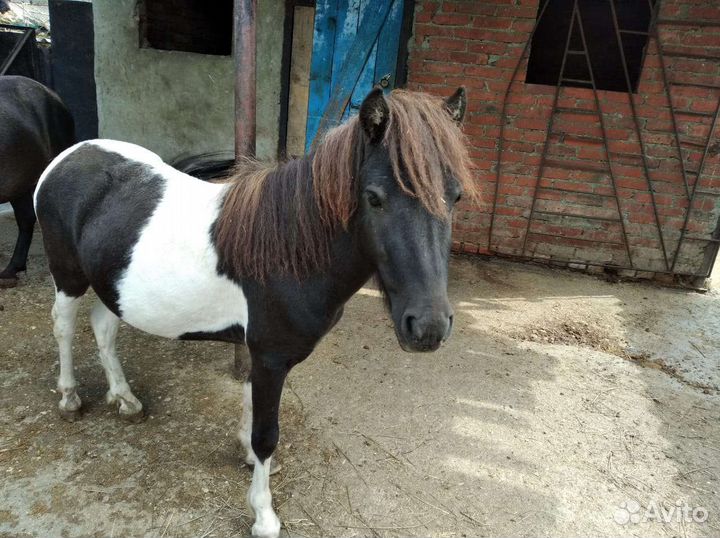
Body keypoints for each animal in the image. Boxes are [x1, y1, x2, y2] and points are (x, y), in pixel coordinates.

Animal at [34, 87, 474, 538]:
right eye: (374, 198)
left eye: (455, 196)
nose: (428, 327)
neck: (290, 249)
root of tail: (69, 156)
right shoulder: (270, 357)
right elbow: (267, 434)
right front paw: (263, 514)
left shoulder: (259, 355)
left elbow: (249, 408)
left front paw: (247, 457)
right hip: (68, 276)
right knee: (63, 327)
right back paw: (69, 398)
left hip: (113, 288)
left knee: (103, 328)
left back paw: (125, 400)